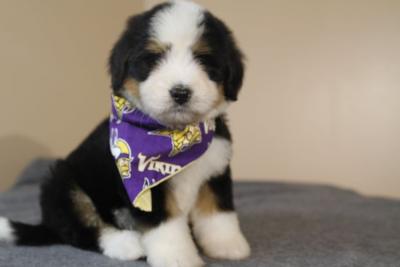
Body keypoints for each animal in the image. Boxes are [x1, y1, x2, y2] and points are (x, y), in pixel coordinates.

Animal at [0, 1, 250, 266]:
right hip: (63, 183)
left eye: (204, 60)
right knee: (84, 229)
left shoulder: (215, 170)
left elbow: (218, 213)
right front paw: (178, 258)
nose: (180, 92)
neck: (177, 133)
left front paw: (228, 245)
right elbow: (166, 227)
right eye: (153, 59)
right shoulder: (147, 185)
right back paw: (126, 244)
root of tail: (47, 224)